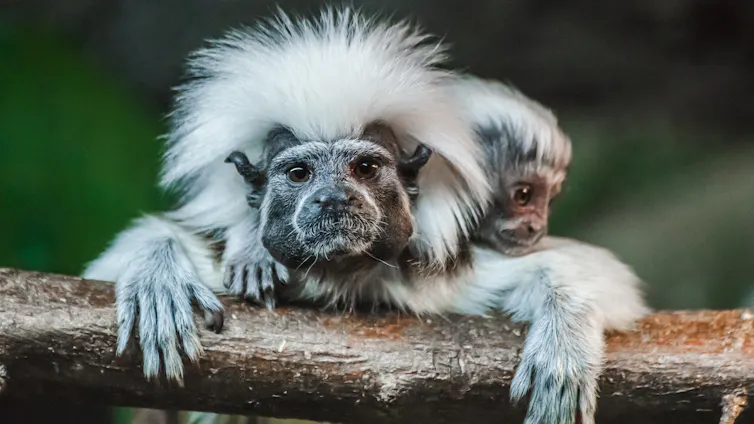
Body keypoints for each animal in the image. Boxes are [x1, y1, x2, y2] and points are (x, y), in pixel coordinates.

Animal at [82, 7, 648, 424]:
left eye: (365, 168)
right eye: (299, 175)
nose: (334, 201)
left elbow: (595, 278)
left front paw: (562, 343)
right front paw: (159, 278)